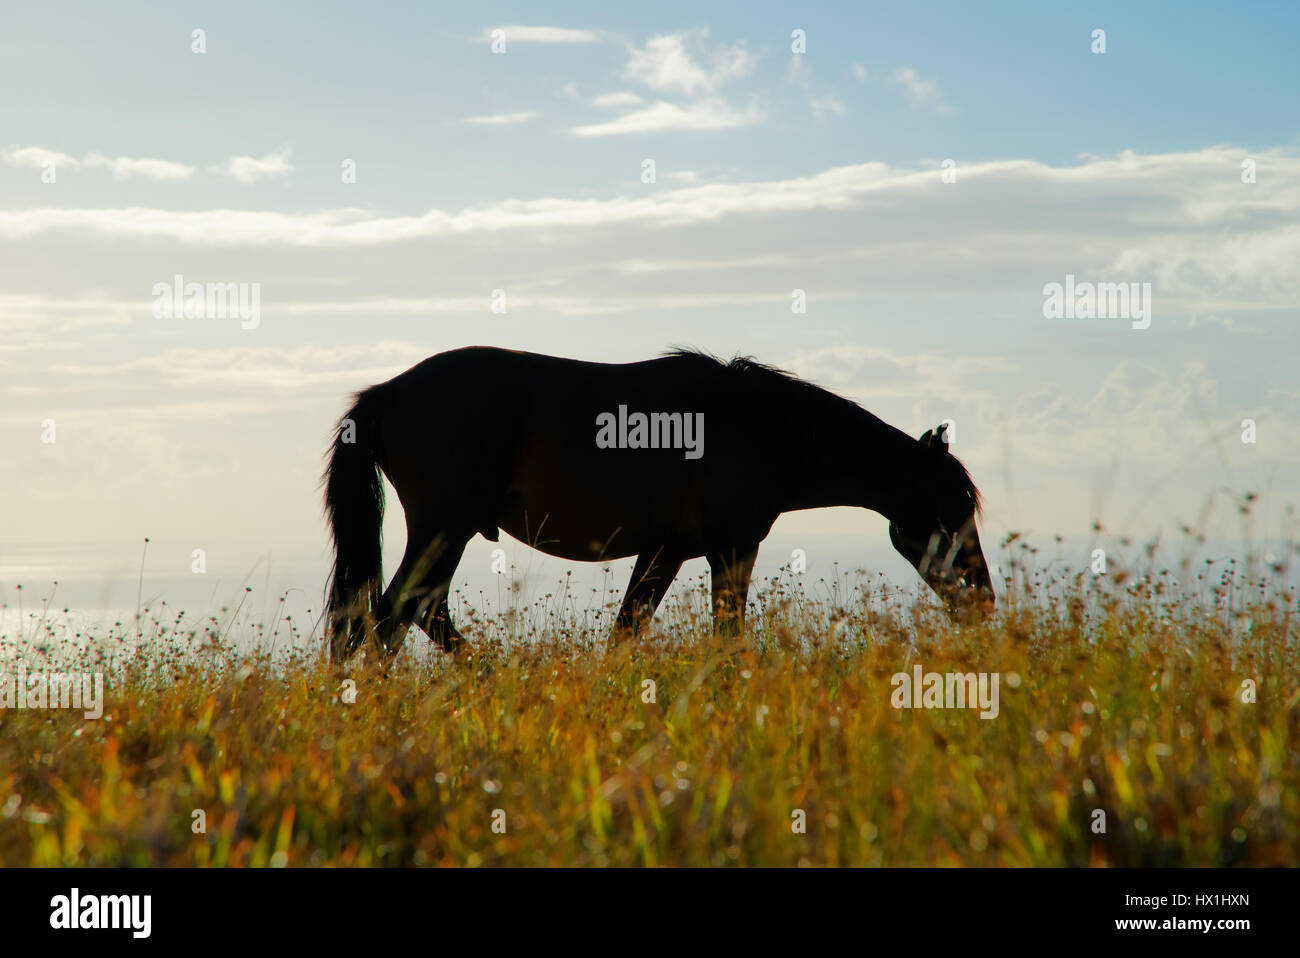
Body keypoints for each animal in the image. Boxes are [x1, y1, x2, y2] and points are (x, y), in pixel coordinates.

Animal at [325, 345, 993, 665]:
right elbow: (726, 636)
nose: (983, 599)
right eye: (952, 507)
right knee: (397, 612)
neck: (760, 424)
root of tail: (385, 394)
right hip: (445, 528)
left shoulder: (664, 554)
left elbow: (628, 631)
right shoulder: (731, 547)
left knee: (408, 612)